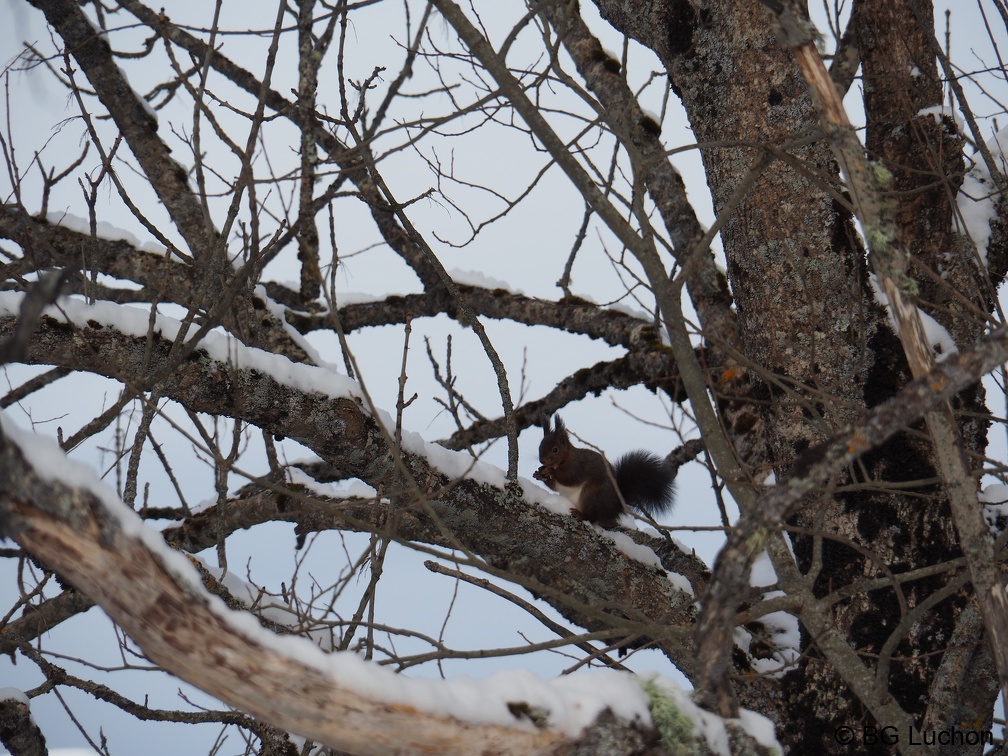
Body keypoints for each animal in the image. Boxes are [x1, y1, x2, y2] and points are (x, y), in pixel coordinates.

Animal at [528, 415, 677, 528]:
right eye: (540, 446)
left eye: (555, 449)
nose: (542, 460)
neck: (565, 459)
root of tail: (614, 507)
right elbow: (554, 486)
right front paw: (539, 474)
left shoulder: (577, 466)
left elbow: (569, 477)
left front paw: (550, 471)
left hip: (592, 494)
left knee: (593, 517)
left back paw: (580, 514)